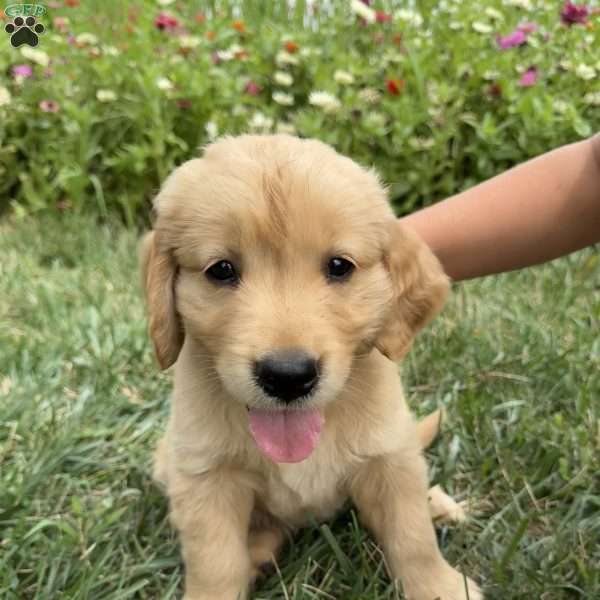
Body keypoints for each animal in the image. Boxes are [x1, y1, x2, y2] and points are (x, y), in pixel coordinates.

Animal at [144, 136, 482, 600]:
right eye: (221, 270)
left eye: (339, 266)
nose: (288, 375)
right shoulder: (205, 477)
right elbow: (215, 562)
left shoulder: (389, 455)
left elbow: (412, 537)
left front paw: (439, 587)